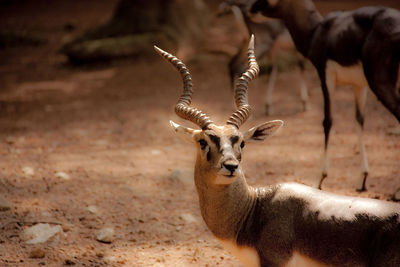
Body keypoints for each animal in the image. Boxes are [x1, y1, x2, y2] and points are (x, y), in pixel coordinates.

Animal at [248, 0, 398, 193]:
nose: (251, 9)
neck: (317, 31)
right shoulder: (359, 85)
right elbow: (359, 120)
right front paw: (362, 178)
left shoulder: (325, 75)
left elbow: (328, 121)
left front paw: (319, 179)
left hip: (380, 83)